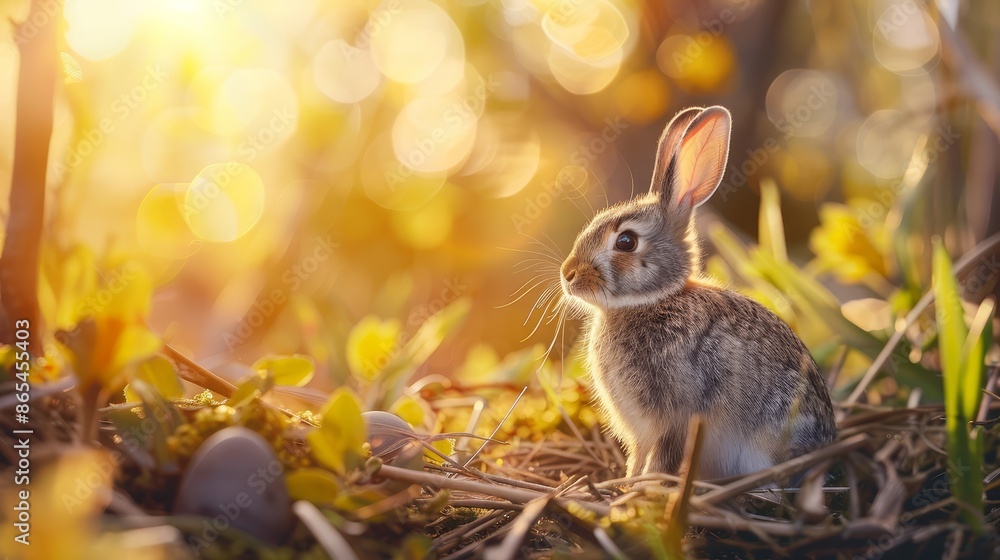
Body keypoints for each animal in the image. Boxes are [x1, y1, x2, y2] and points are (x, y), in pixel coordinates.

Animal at [559, 106, 836, 479]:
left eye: (626, 241)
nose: (568, 274)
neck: (654, 300)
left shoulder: (675, 416)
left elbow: (662, 458)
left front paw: (643, 488)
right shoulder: (640, 431)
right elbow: (637, 457)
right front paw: (625, 484)